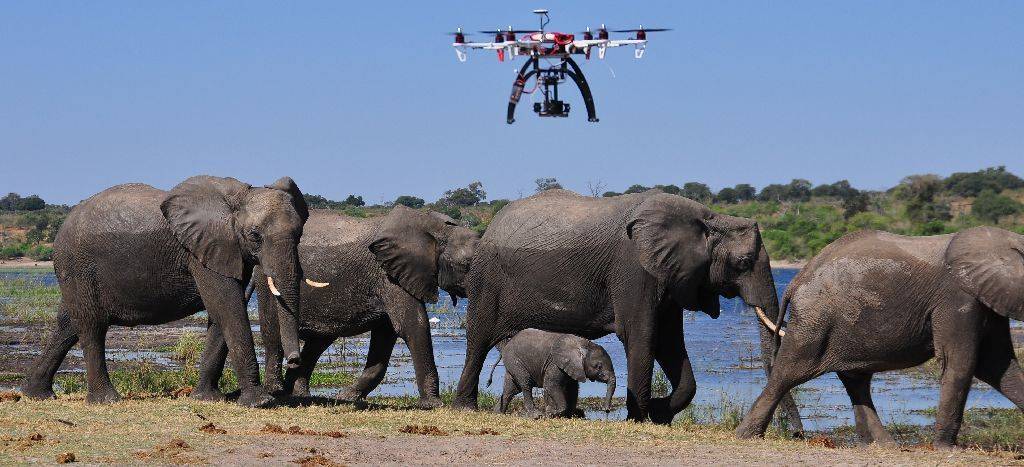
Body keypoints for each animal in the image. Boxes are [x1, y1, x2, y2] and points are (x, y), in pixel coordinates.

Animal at [21, 175, 327, 407]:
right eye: (254, 236)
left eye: (300, 234)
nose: (294, 360)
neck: (238, 197)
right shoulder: (202, 249)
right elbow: (228, 308)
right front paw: (259, 402)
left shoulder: (222, 250)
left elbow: (221, 313)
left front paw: (206, 399)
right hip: (78, 265)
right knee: (92, 325)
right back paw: (106, 400)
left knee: (68, 323)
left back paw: (36, 394)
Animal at [197, 205, 479, 408]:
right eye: (467, 265)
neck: (434, 227)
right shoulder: (388, 276)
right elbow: (412, 325)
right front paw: (433, 404)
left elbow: (386, 336)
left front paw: (347, 397)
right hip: (268, 282)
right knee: (274, 336)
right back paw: (276, 391)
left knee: (318, 342)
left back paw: (297, 393)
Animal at [487, 328, 615, 418]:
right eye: (598, 367)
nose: (606, 410)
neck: (583, 343)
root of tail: (507, 344)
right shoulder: (555, 363)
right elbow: (551, 385)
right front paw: (552, 413)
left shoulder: (572, 367)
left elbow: (573, 389)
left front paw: (570, 415)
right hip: (515, 360)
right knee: (525, 384)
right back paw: (535, 416)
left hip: (512, 363)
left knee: (511, 389)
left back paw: (498, 413)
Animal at [735, 227, 1024, 448]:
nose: (797, 434)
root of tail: (797, 279)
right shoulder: (959, 298)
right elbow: (962, 363)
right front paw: (946, 448)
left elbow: (999, 366)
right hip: (814, 319)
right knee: (788, 372)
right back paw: (746, 436)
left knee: (856, 380)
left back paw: (883, 445)